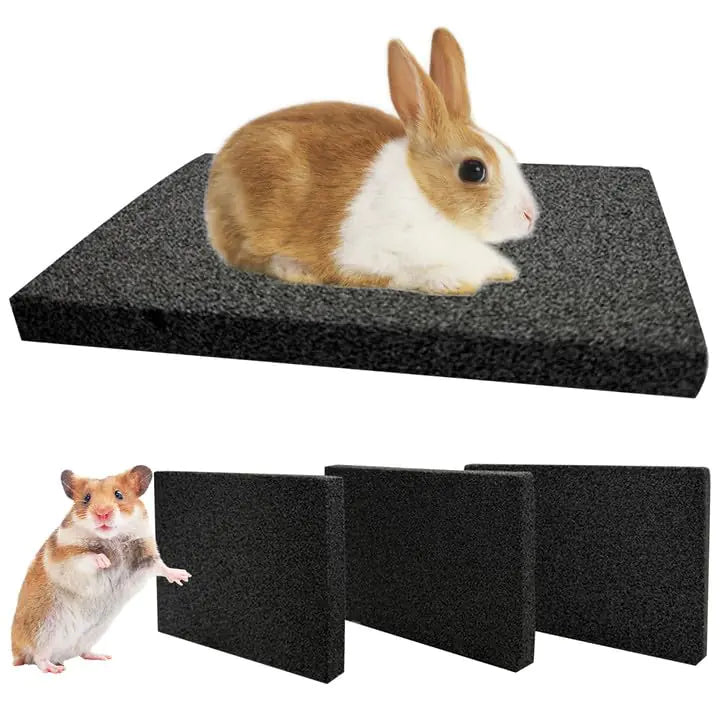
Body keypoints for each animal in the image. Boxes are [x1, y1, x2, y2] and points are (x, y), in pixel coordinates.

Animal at [11, 465, 190, 673]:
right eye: (86, 498)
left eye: (119, 494)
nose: (102, 513)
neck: (111, 538)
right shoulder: (66, 555)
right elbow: (87, 556)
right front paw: (105, 561)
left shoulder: (145, 555)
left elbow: (160, 566)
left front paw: (184, 577)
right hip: (43, 629)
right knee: (38, 657)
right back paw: (55, 669)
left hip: (91, 634)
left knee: (82, 652)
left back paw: (101, 657)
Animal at [205, 28, 538, 295]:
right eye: (473, 170)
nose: (529, 216)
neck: (425, 198)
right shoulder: (360, 256)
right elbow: (399, 273)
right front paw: (450, 282)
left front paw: (503, 271)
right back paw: (294, 268)